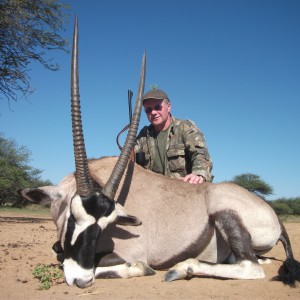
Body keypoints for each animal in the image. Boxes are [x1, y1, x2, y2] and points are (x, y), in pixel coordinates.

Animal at [19, 18, 298, 288]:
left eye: (106, 225)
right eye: (72, 217)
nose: (82, 280)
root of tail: (272, 213)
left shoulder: (131, 251)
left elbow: (110, 264)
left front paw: (139, 269)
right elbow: (59, 253)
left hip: (226, 215)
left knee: (251, 267)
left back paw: (181, 268)